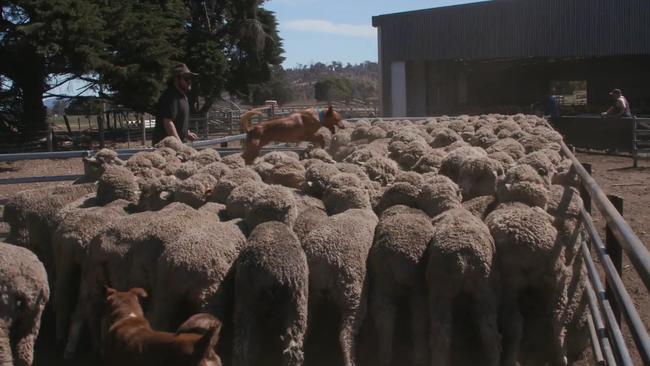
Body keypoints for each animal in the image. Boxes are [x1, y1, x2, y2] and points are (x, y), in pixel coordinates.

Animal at [302, 209, 378, 366]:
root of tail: (323, 260)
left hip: (310, 294)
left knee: (306, 326)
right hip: (353, 292)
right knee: (345, 335)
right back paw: (351, 361)